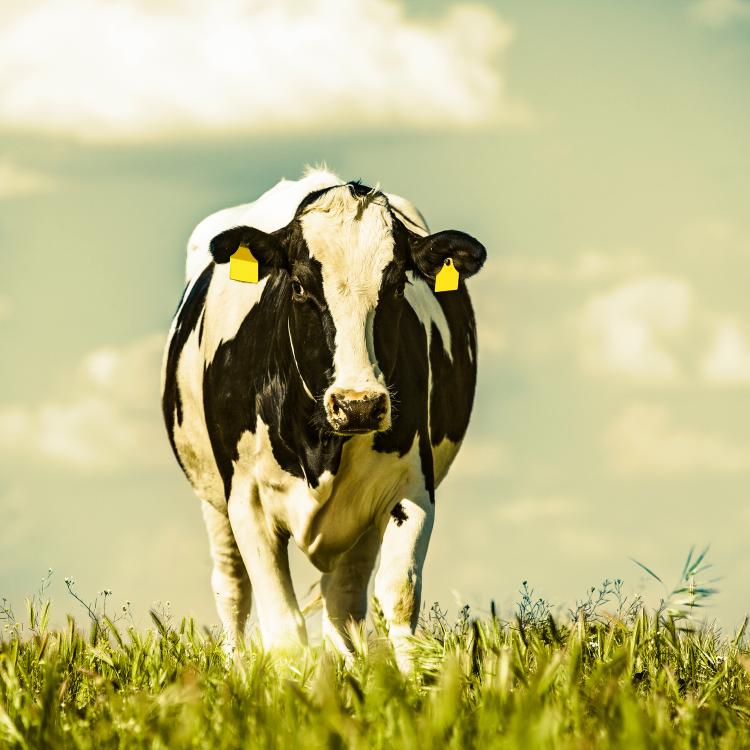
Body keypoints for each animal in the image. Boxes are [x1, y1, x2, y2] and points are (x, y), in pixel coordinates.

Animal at [162, 167, 488, 668]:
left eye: (397, 286)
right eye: (299, 287)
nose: (358, 404)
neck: (321, 445)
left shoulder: (411, 487)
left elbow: (398, 594)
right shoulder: (247, 500)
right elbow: (281, 625)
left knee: (344, 597)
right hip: (213, 499)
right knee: (233, 588)